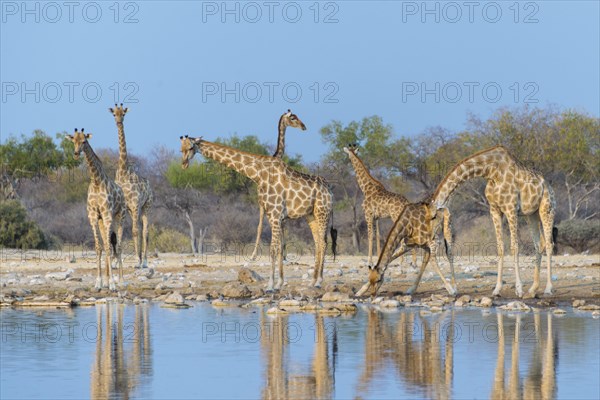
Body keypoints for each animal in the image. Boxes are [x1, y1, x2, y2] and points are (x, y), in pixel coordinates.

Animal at [65, 130, 125, 290]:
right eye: (73, 141)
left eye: (84, 141)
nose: (76, 153)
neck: (97, 182)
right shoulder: (93, 216)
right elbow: (99, 247)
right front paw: (98, 283)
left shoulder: (107, 215)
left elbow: (110, 248)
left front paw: (112, 284)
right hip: (101, 221)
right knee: (107, 243)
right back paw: (107, 280)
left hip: (120, 217)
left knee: (119, 246)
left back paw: (121, 280)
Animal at [109, 104, 154, 270]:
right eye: (114, 114)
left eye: (124, 114)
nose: (118, 121)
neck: (123, 172)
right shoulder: (123, 207)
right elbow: (117, 232)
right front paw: (115, 261)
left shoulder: (135, 205)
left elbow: (134, 231)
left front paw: (137, 260)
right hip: (133, 210)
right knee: (140, 228)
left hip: (147, 206)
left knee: (145, 230)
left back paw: (144, 261)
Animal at [180, 135, 336, 290]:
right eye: (181, 148)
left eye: (191, 147)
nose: (184, 164)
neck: (259, 175)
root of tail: (329, 189)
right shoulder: (273, 216)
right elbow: (279, 247)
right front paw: (277, 283)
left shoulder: (276, 215)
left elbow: (273, 249)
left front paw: (271, 285)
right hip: (311, 215)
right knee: (318, 242)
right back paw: (312, 281)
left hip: (323, 212)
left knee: (323, 243)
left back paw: (319, 281)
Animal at [428, 145, 556, 296]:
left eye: (433, 216)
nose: (430, 236)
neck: (491, 171)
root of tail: (548, 186)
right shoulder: (494, 210)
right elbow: (500, 247)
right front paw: (497, 289)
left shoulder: (511, 209)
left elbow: (514, 247)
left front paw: (518, 289)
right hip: (531, 214)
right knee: (539, 244)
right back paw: (533, 289)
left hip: (547, 209)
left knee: (549, 244)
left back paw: (548, 288)